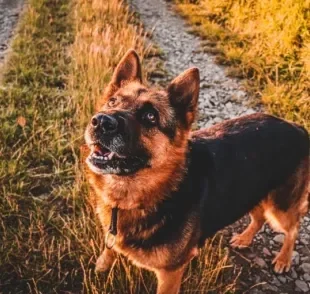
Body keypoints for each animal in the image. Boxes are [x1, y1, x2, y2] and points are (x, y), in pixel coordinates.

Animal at [83, 49, 310, 292]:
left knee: (293, 228)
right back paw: (245, 238)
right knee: (259, 217)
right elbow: (110, 247)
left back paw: (284, 259)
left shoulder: (171, 274)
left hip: (280, 208)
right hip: (252, 192)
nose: (101, 121)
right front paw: (103, 264)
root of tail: (297, 127)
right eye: (112, 102)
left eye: (150, 116)